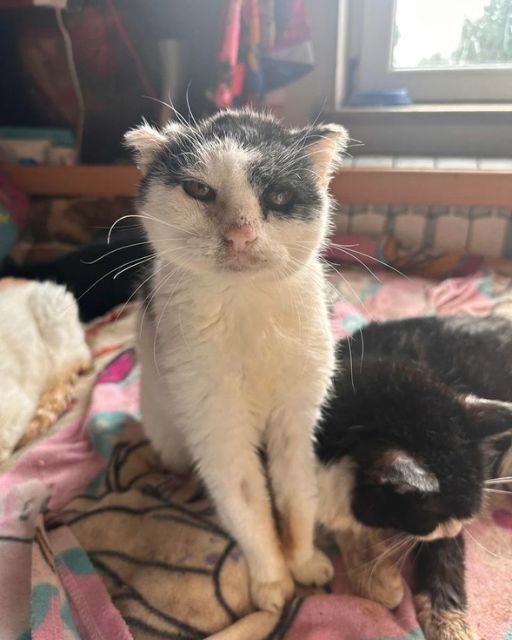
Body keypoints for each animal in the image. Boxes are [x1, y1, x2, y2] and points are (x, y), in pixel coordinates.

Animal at [124, 109, 349, 612]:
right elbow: (247, 505)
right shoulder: (218, 430)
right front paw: (272, 582)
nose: (240, 234)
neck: (249, 307)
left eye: (279, 195)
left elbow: (296, 495)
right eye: (199, 190)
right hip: (167, 426)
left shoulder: (296, 421)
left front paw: (303, 562)